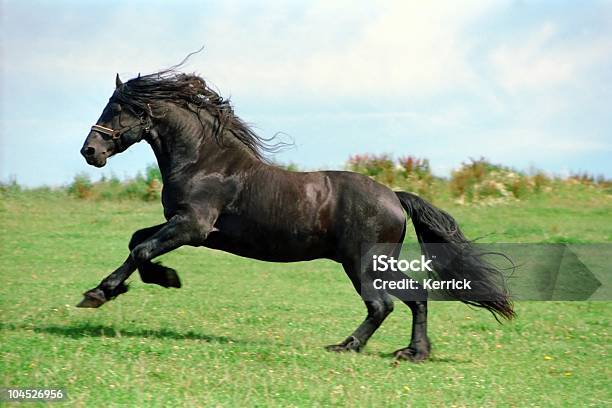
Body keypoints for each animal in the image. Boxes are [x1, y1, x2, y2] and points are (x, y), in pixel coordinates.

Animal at [80, 69, 512, 360]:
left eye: (117, 108)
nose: (90, 151)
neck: (205, 161)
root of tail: (393, 196)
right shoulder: (186, 226)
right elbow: (138, 241)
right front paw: (156, 279)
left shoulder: (193, 227)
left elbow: (141, 249)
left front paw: (100, 293)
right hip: (374, 263)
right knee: (413, 298)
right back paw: (412, 352)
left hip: (363, 262)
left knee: (383, 304)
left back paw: (347, 346)